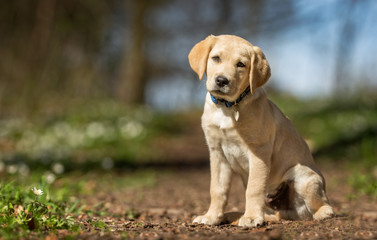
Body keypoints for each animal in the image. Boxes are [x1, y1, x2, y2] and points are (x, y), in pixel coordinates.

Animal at [188, 35, 332, 227]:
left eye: (241, 64)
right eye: (216, 58)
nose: (222, 80)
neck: (227, 107)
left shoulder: (258, 152)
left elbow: (253, 188)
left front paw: (250, 218)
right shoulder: (217, 153)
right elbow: (217, 189)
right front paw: (211, 217)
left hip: (303, 175)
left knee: (323, 205)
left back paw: (322, 214)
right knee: (281, 214)